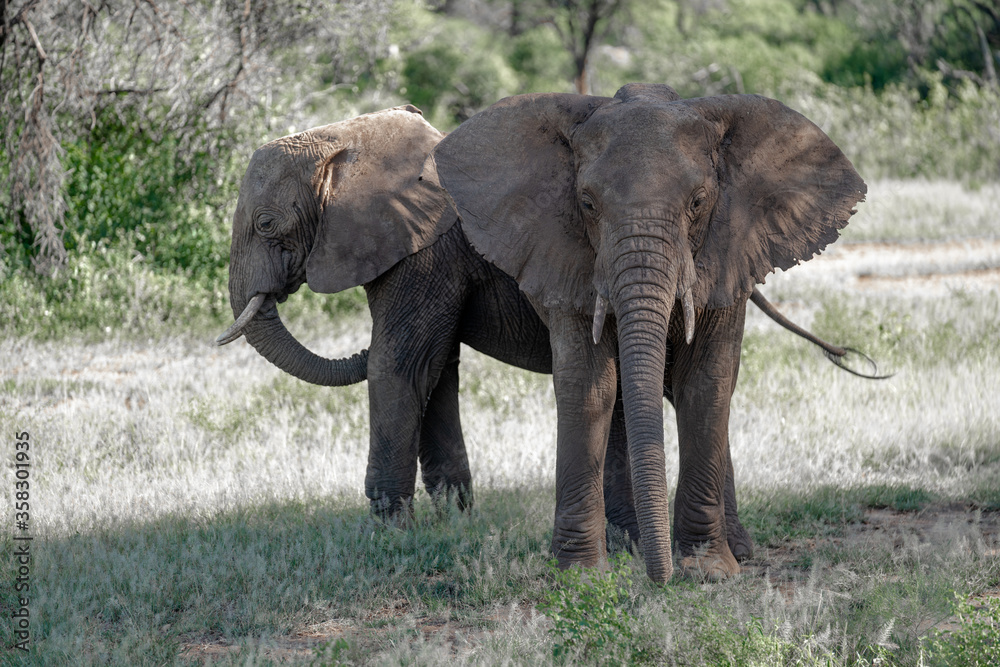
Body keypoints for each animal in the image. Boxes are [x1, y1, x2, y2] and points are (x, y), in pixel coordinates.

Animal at [430, 85, 868, 584]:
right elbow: (589, 386)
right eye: (587, 203)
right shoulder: (568, 260)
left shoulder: (728, 252)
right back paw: (632, 545)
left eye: (698, 201)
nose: (661, 581)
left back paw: (730, 549)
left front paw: (708, 571)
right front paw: (582, 575)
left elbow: (705, 385)